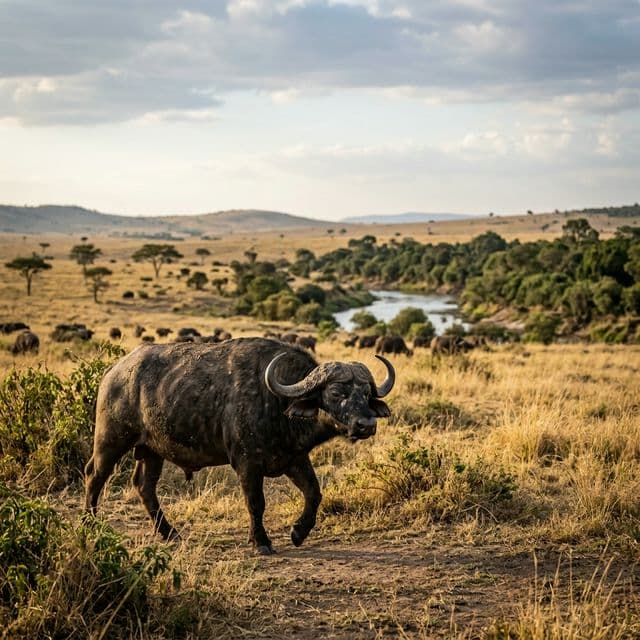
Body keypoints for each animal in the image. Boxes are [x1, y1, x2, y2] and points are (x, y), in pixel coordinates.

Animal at [85, 338, 395, 554]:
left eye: (366, 392)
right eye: (336, 392)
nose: (366, 424)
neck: (276, 403)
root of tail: (114, 371)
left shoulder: (294, 459)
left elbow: (314, 493)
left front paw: (299, 532)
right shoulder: (247, 464)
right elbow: (256, 502)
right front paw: (261, 541)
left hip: (152, 451)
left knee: (144, 485)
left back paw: (170, 532)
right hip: (111, 441)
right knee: (95, 475)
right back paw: (90, 523)